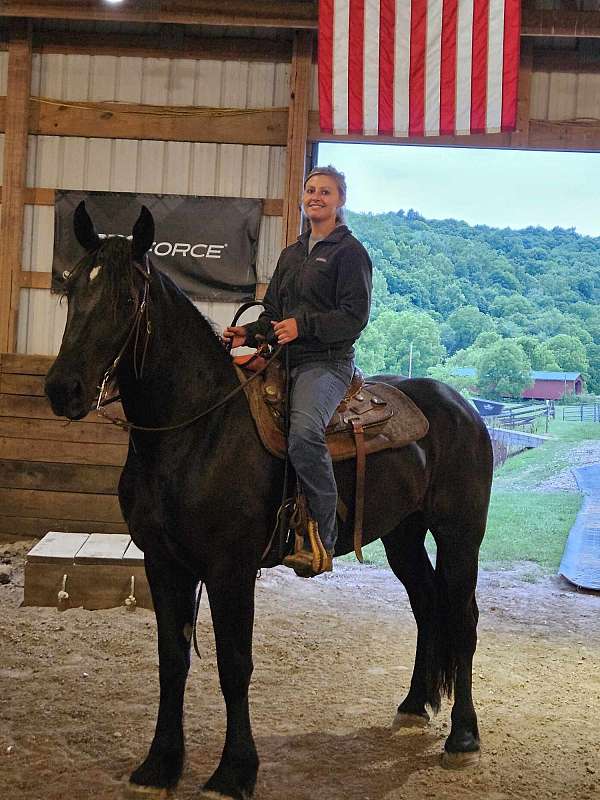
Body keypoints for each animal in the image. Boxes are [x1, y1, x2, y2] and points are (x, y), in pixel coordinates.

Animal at [45, 205, 492, 800]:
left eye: (126, 299)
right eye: (71, 289)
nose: (62, 389)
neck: (196, 429)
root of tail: (463, 407)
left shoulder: (230, 570)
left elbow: (235, 666)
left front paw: (235, 772)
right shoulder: (163, 563)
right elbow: (171, 661)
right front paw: (160, 764)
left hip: (460, 534)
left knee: (461, 618)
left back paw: (463, 736)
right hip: (403, 535)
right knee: (426, 606)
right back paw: (414, 705)